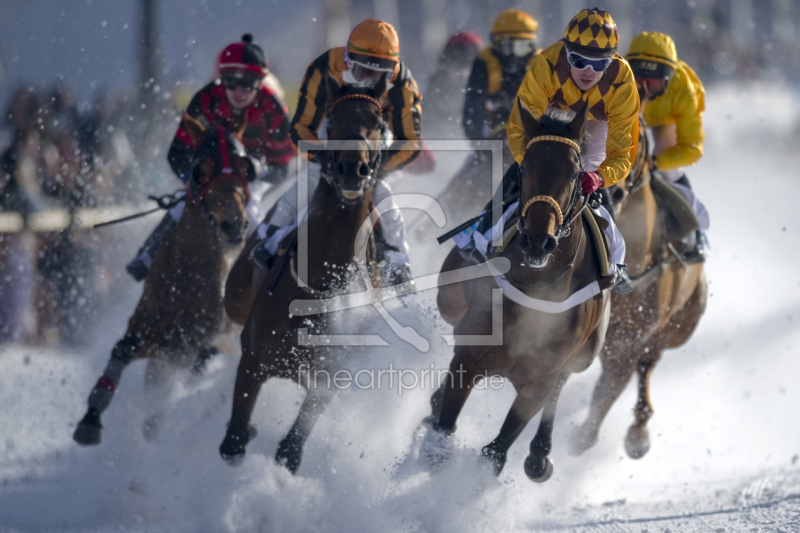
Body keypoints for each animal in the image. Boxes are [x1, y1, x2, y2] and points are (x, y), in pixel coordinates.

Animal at [72, 125, 255, 444]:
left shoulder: (198, 342)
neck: (188, 282)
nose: (234, 225)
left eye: (246, 168)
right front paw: (90, 420)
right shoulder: (148, 328)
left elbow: (201, 361)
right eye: (199, 171)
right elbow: (122, 350)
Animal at [219, 78, 390, 470]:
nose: (351, 169)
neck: (320, 284)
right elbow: (234, 440)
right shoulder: (253, 358)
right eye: (333, 118)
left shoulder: (327, 381)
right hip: (235, 296)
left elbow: (290, 449)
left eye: (377, 121)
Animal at [424, 102, 612, 480]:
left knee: (565, 379)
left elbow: (496, 451)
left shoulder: (539, 381)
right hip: (450, 294)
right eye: (525, 166)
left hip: (587, 352)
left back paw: (540, 454)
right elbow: (443, 428)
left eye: (575, 174)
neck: (538, 290)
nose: (538, 240)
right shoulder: (470, 355)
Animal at [568, 111, 708, 458]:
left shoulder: (629, 339)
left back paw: (638, 432)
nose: (611, 191)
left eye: (636, 138)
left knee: (648, 363)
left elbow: (606, 391)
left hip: (680, 325)